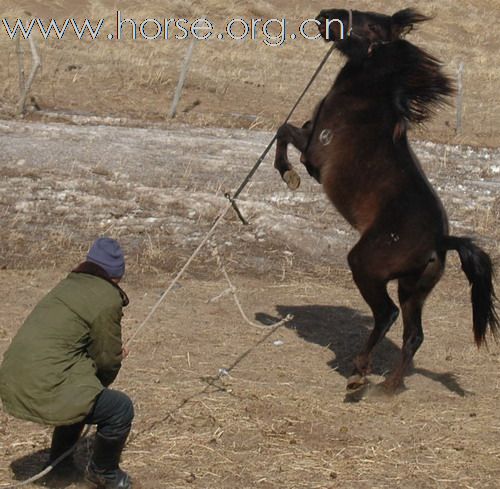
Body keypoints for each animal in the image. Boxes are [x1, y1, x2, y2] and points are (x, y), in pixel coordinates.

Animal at [276, 7, 498, 392]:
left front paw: (287, 174)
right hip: (414, 290)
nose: (325, 15)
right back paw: (387, 387)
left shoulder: (313, 151)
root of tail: (442, 241)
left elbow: (283, 131)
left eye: (370, 25)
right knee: (414, 335)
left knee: (386, 314)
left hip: (366, 267)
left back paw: (359, 372)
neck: (367, 99)